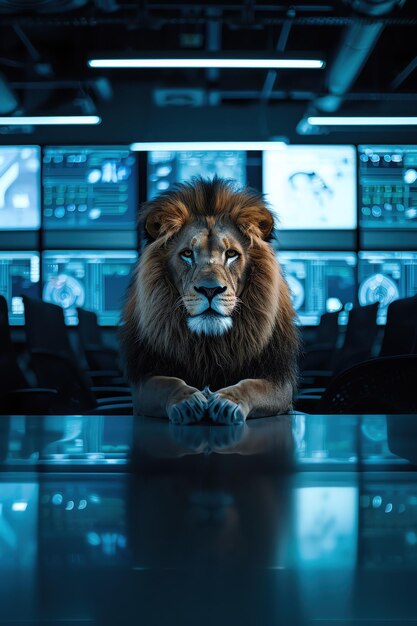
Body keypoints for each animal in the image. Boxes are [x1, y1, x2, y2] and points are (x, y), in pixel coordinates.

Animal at [120, 174, 300, 424]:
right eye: (187, 254)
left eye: (231, 254)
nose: (210, 290)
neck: (209, 346)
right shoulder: (144, 378)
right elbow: (167, 383)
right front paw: (187, 401)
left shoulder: (279, 381)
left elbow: (252, 386)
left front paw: (227, 402)